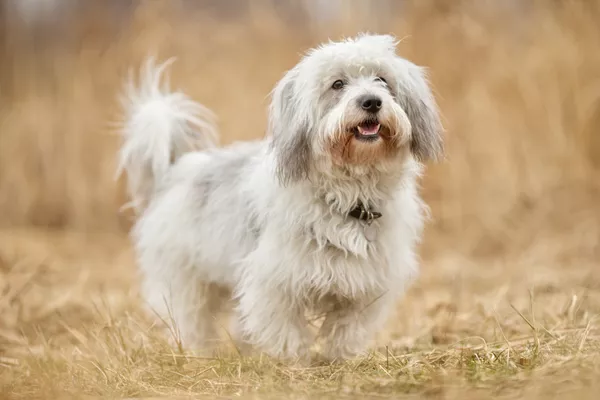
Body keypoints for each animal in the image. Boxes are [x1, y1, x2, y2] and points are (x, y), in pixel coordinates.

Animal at [118, 32, 446, 360]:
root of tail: (176, 168)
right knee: (192, 321)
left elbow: (347, 328)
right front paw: (296, 362)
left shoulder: (366, 283)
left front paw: (340, 358)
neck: (349, 193)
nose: (371, 101)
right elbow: (287, 330)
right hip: (187, 282)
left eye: (382, 79)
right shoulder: (274, 281)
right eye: (337, 84)